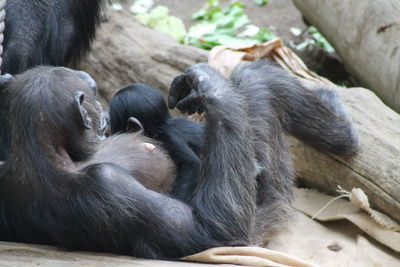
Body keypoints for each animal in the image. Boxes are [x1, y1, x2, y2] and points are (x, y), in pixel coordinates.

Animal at [0, 61, 358, 260]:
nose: (101, 118)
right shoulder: (107, 183)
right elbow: (212, 232)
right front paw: (209, 85)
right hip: (268, 210)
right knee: (254, 81)